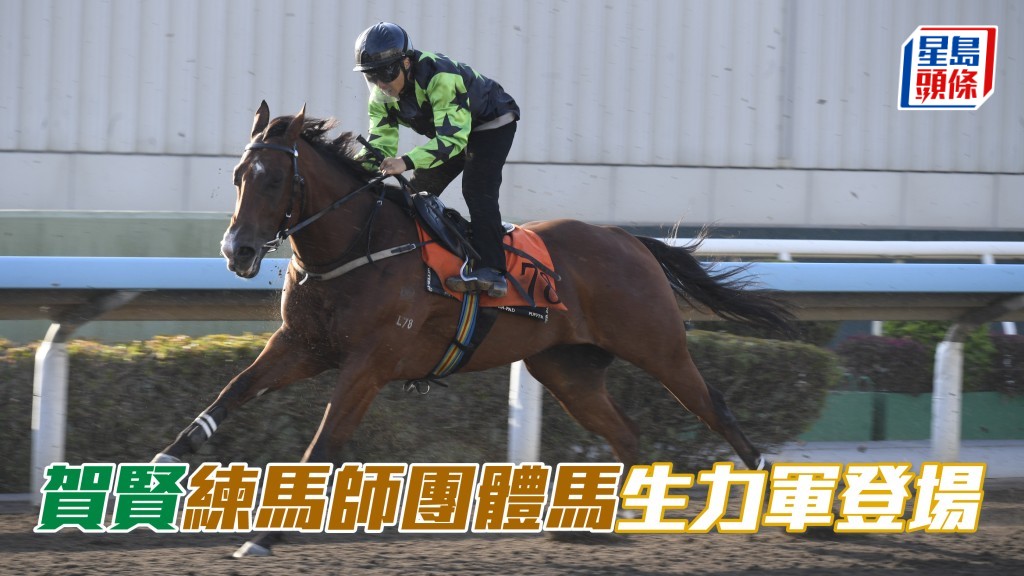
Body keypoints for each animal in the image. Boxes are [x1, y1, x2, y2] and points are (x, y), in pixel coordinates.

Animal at [152, 101, 796, 556]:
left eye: (272, 181)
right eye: (238, 175)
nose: (237, 251)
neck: (358, 246)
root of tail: (630, 240)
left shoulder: (370, 363)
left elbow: (326, 442)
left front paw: (265, 535)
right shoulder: (303, 345)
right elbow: (231, 393)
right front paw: (158, 467)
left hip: (659, 347)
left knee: (715, 408)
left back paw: (790, 508)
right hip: (566, 369)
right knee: (627, 434)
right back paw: (592, 525)